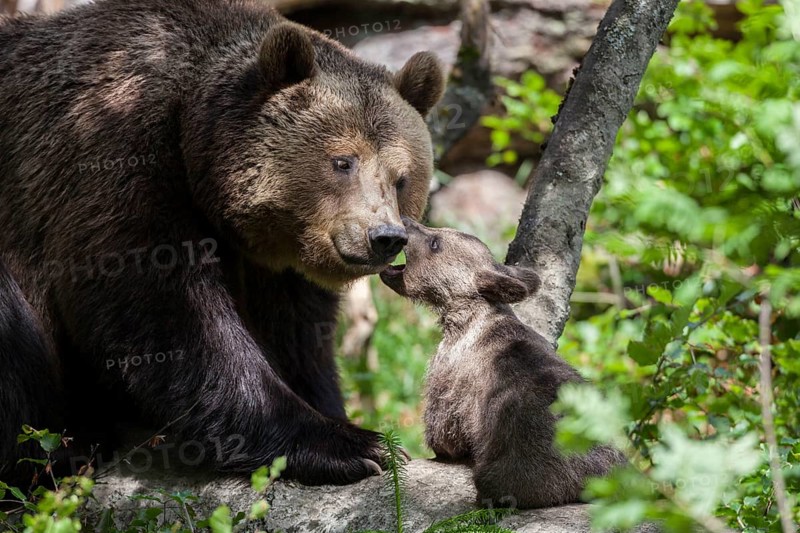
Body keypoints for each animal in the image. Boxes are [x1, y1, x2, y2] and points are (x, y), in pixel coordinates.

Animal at [0, 0, 445, 486]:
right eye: (342, 161)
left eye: (401, 177)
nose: (384, 237)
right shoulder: (113, 157)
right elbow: (167, 313)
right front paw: (351, 444)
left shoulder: (276, 263)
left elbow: (298, 336)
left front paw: (336, 414)